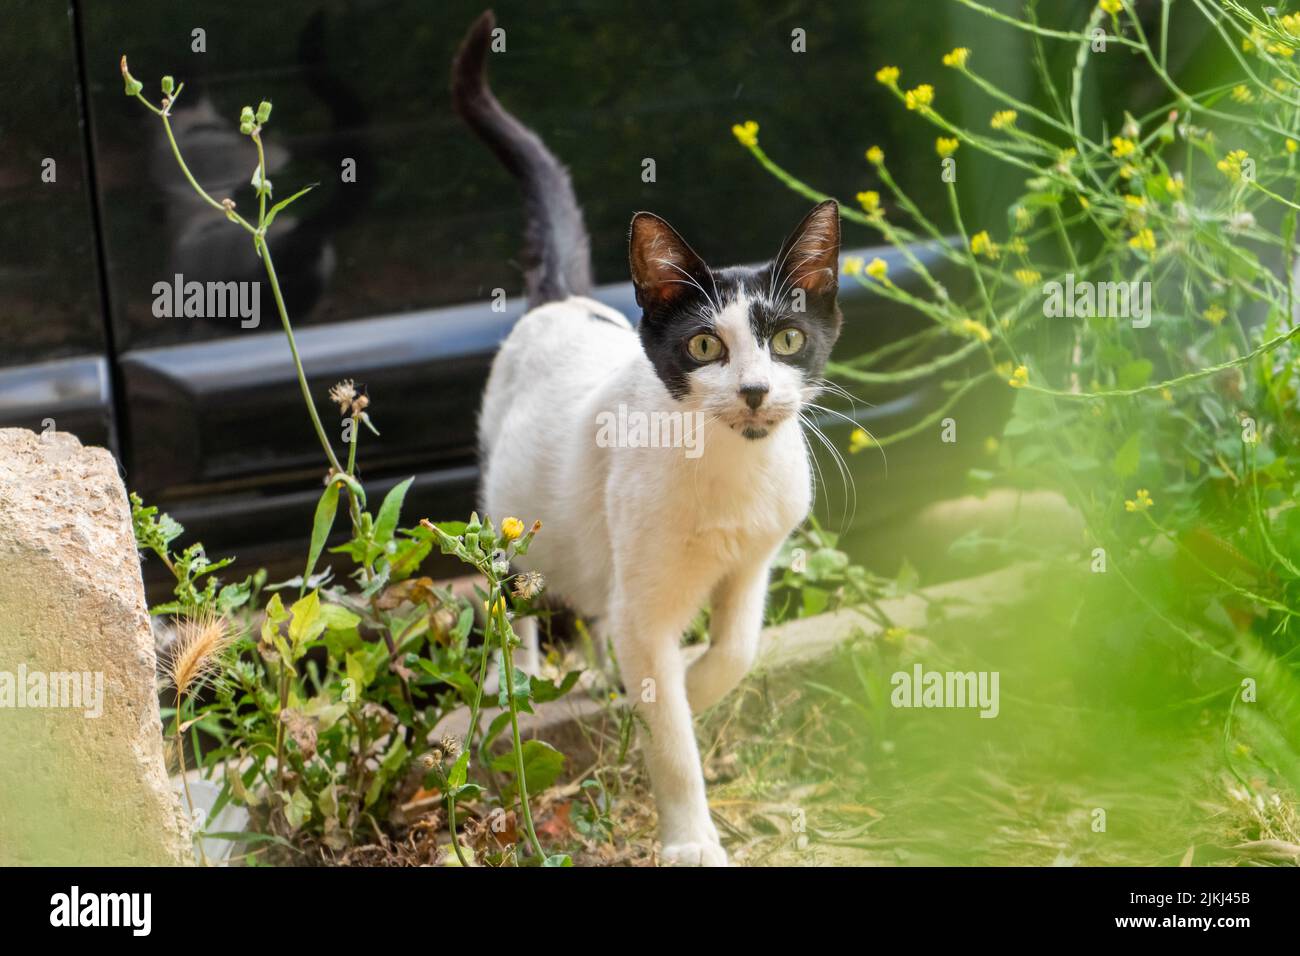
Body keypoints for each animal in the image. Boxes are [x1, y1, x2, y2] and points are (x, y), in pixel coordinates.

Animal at [454, 9, 842, 868]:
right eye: (703, 347)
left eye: (788, 340)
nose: (755, 390)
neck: (731, 471)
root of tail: (562, 301)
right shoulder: (648, 602)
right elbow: (669, 734)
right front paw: (690, 835)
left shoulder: (753, 562)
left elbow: (736, 651)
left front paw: (691, 690)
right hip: (510, 512)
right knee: (517, 594)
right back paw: (514, 679)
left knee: (596, 606)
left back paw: (603, 677)